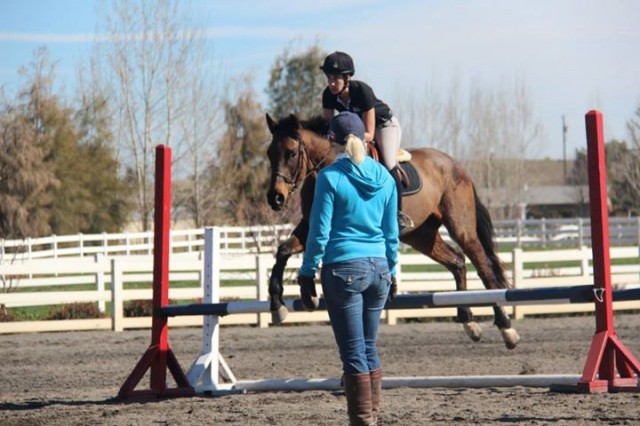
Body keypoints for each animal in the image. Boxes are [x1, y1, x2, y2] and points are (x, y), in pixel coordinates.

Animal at [264, 113, 520, 350]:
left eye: (291, 153)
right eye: (269, 154)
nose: (275, 198)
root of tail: (455, 164)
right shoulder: (310, 226)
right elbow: (283, 250)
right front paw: (280, 305)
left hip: (461, 228)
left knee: (484, 268)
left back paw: (507, 328)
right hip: (422, 236)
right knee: (457, 262)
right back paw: (469, 322)